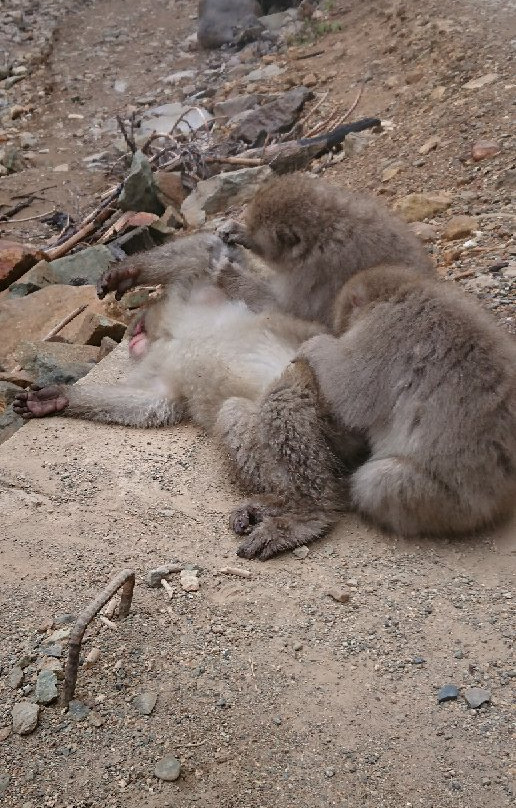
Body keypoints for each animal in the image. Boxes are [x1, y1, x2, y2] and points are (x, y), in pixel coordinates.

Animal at [12, 233, 324, 440]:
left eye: (139, 325)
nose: (132, 335)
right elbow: (153, 400)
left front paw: (127, 272)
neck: (170, 336)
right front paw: (56, 398)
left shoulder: (203, 295)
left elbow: (207, 254)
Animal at [217, 172, 436, 328]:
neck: (325, 227)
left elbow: (286, 311)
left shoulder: (314, 274)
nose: (247, 234)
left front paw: (229, 274)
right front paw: (238, 232)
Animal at [217, 264, 516, 559]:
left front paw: (315, 345)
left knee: (376, 481)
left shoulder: (383, 329)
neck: (401, 293)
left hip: (443, 501)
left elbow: (352, 394)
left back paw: (313, 511)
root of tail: (501, 499)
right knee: (234, 408)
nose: (339, 330)